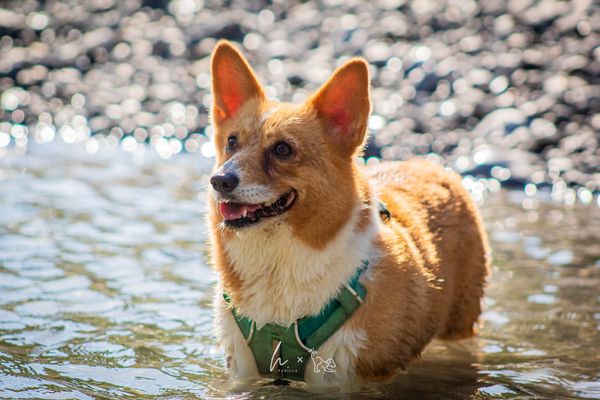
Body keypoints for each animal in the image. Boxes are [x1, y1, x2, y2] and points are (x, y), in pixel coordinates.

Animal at [206, 41, 488, 388]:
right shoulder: (244, 372)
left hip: (459, 324)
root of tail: (429, 164)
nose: (220, 180)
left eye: (283, 149)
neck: (277, 261)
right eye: (232, 141)